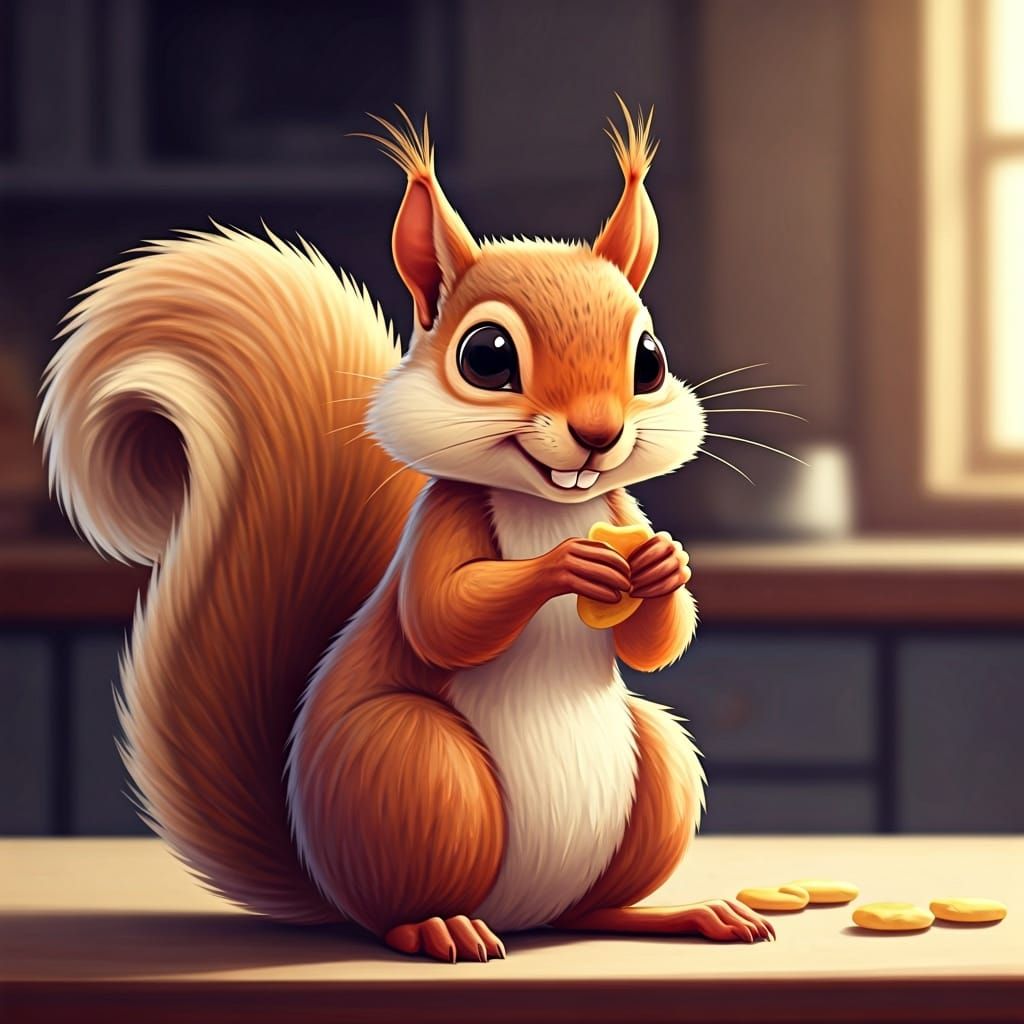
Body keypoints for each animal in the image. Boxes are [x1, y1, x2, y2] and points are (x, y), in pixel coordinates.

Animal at [37, 102, 774, 962]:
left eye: (649, 359)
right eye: (487, 355)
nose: (599, 435)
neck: (549, 503)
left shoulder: (619, 509)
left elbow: (656, 644)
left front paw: (665, 568)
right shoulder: (444, 519)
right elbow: (441, 617)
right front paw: (568, 566)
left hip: (656, 764)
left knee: (594, 909)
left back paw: (684, 914)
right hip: (415, 769)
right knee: (401, 906)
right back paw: (438, 926)